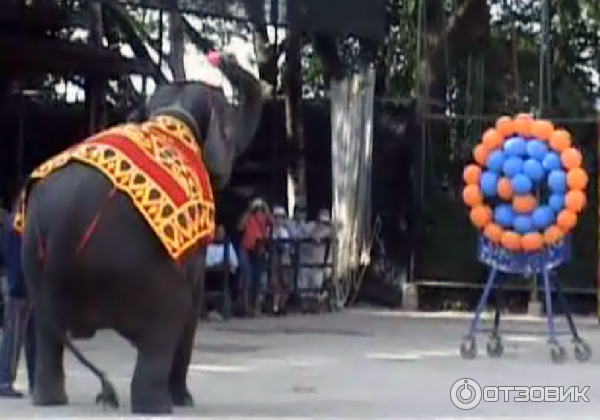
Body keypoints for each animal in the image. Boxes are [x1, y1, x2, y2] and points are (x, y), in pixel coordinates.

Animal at [15, 50, 264, 416]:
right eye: (230, 127)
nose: (223, 59)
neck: (171, 112)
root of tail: (63, 227)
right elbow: (193, 300)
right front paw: (185, 399)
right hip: (132, 267)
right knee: (168, 320)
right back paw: (158, 406)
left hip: (35, 261)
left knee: (46, 332)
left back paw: (52, 400)